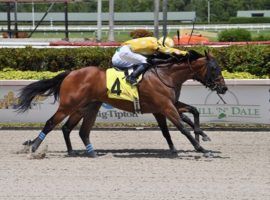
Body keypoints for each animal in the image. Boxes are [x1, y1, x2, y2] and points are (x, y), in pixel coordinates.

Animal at [17, 49, 227, 156]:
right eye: (215, 69)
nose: (224, 88)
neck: (166, 75)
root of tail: (70, 73)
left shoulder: (167, 105)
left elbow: (192, 113)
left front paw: (201, 136)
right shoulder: (165, 106)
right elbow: (182, 127)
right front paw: (201, 148)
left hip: (86, 107)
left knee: (72, 128)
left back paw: (79, 151)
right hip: (69, 105)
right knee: (51, 123)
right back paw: (34, 147)